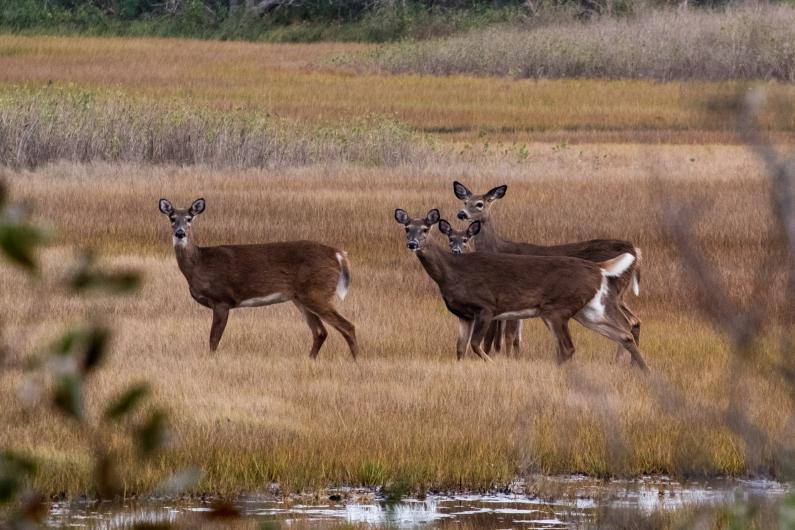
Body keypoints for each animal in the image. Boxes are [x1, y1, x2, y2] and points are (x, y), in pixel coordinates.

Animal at [158, 198, 358, 359]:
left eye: (189, 218)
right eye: (172, 218)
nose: (180, 233)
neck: (200, 264)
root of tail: (338, 254)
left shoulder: (222, 299)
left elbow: (214, 339)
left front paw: (211, 360)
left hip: (317, 292)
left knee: (347, 326)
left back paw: (357, 361)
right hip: (301, 297)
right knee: (320, 332)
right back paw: (310, 360)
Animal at [394, 208, 648, 370]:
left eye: (425, 228)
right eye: (407, 228)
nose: (412, 244)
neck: (451, 272)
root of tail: (598, 268)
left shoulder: (486, 307)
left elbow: (476, 346)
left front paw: (494, 364)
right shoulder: (463, 314)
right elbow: (459, 349)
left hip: (557, 308)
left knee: (568, 348)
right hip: (588, 309)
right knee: (624, 333)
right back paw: (644, 372)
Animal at [452, 181, 642, 361]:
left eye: (479, 204)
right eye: (465, 201)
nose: (461, 214)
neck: (498, 248)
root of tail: (635, 251)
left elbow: (510, 334)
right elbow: (514, 334)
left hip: (610, 293)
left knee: (627, 323)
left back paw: (619, 360)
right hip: (617, 295)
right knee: (634, 321)